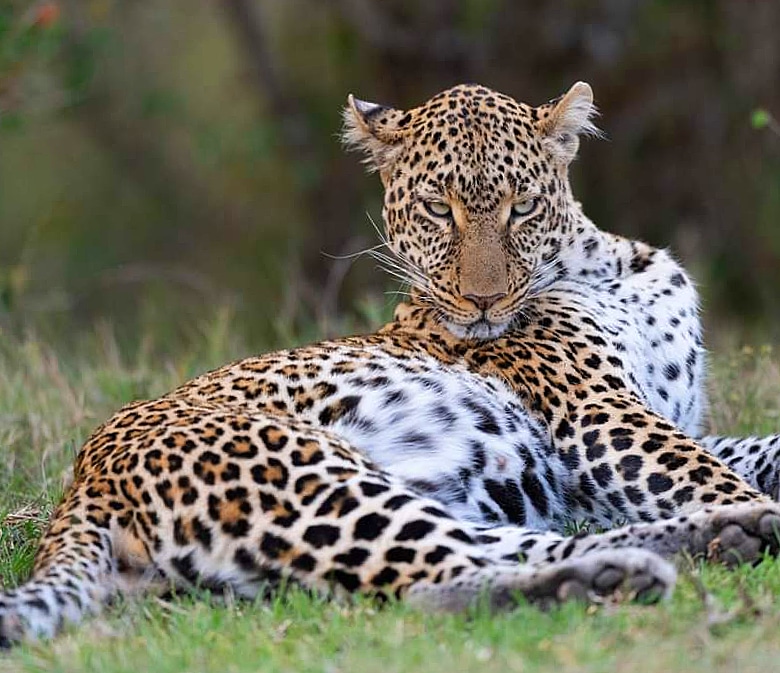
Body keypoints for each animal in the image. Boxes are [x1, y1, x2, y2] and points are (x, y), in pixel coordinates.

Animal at [2, 82, 780, 645]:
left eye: (522, 207)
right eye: (438, 210)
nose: (482, 298)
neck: (605, 266)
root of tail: (82, 479)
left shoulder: (669, 416)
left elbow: (746, 451)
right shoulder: (598, 414)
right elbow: (701, 472)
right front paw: (745, 503)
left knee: (492, 551)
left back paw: (712, 539)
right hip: (311, 479)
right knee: (438, 581)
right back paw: (646, 566)